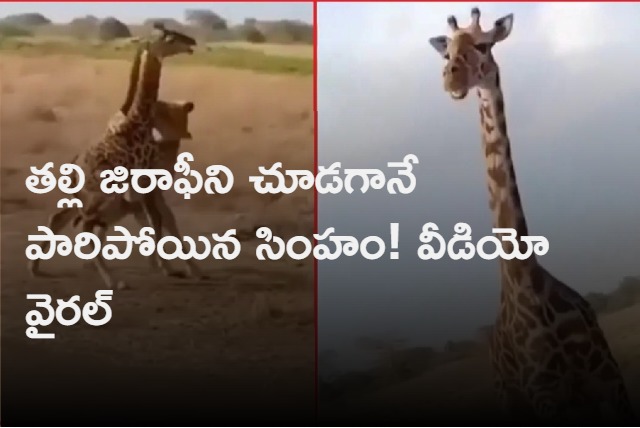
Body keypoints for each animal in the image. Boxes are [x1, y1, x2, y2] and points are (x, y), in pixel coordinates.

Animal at [67, 23, 196, 289]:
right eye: (169, 38)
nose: (192, 43)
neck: (140, 123)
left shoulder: (143, 186)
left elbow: (155, 221)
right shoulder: (146, 179)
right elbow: (157, 221)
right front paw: (168, 268)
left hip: (101, 201)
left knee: (87, 227)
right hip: (102, 197)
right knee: (85, 227)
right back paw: (114, 281)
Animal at [427, 8, 635, 424]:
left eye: (483, 45)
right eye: (447, 52)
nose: (451, 79)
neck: (526, 284)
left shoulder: (608, 378)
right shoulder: (544, 393)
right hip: (511, 399)